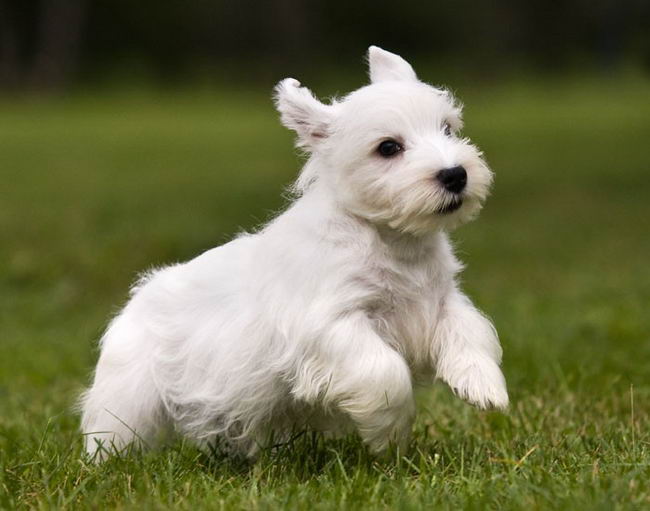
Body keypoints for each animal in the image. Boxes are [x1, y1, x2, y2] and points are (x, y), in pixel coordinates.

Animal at [79, 45, 506, 460]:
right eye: (388, 147)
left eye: (447, 128)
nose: (455, 175)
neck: (392, 240)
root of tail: (139, 293)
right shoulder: (333, 325)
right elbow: (384, 371)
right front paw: (390, 436)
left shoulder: (440, 300)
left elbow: (469, 332)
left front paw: (484, 387)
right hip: (129, 396)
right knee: (111, 431)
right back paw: (104, 465)